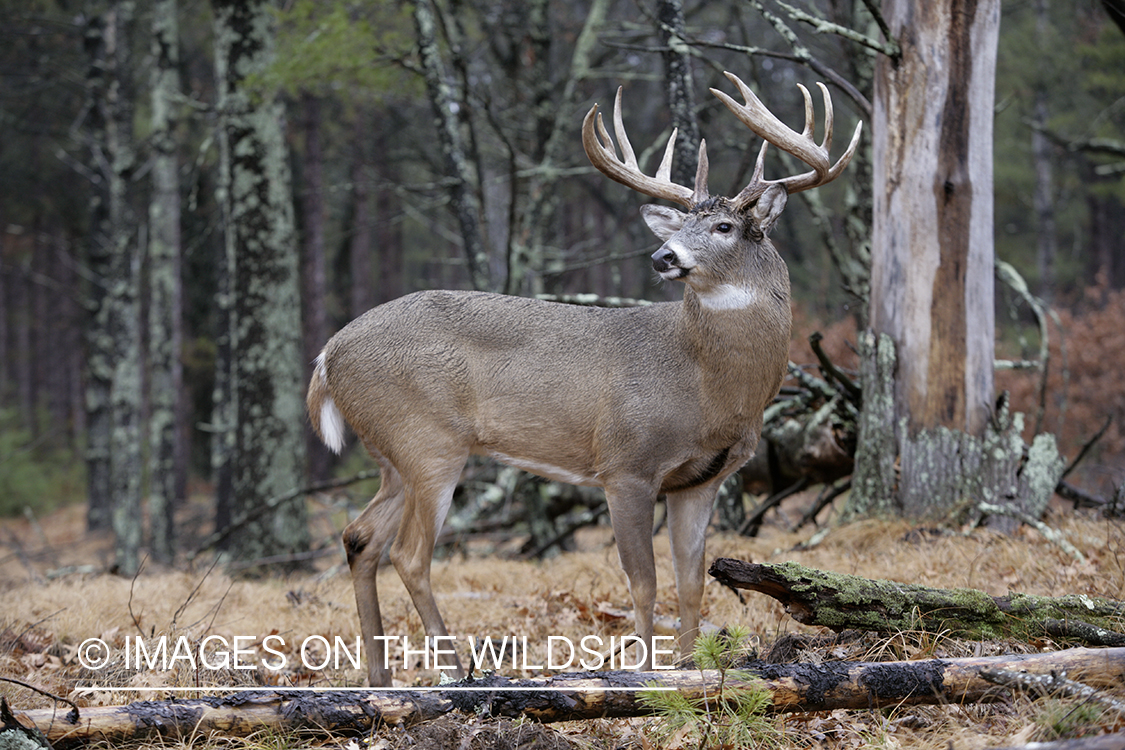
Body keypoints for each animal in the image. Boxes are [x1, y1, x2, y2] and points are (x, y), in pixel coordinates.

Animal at [303, 71, 855, 688]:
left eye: (724, 225)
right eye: (684, 224)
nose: (664, 256)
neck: (707, 385)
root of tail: (327, 355)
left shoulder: (701, 479)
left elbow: (691, 581)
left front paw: (690, 671)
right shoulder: (625, 463)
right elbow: (644, 583)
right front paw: (645, 675)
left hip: (392, 455)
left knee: (359, 538)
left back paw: (379, 681)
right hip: (427, 441)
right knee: (409, 554)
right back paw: (455, 675)